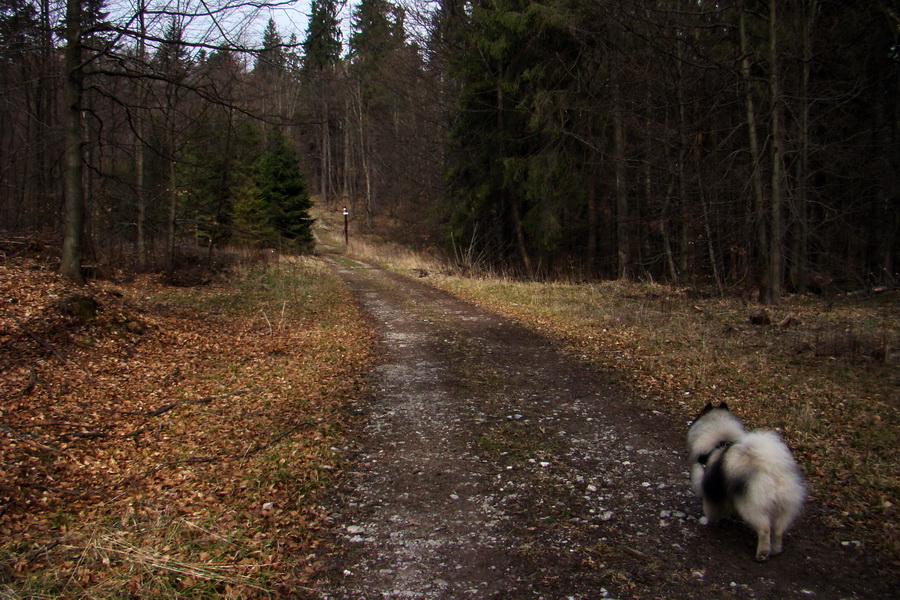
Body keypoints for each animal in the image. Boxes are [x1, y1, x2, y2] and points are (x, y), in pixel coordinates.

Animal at [684, 400, 804, 560]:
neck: (719, 441)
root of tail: (772, 473)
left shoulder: (710, 490)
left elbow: (710, 509)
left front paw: (706, 521)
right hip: (783, 508)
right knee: (778, 530)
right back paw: (776, 550)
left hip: (753, 507)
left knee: (764, 529)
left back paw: (762, 553)